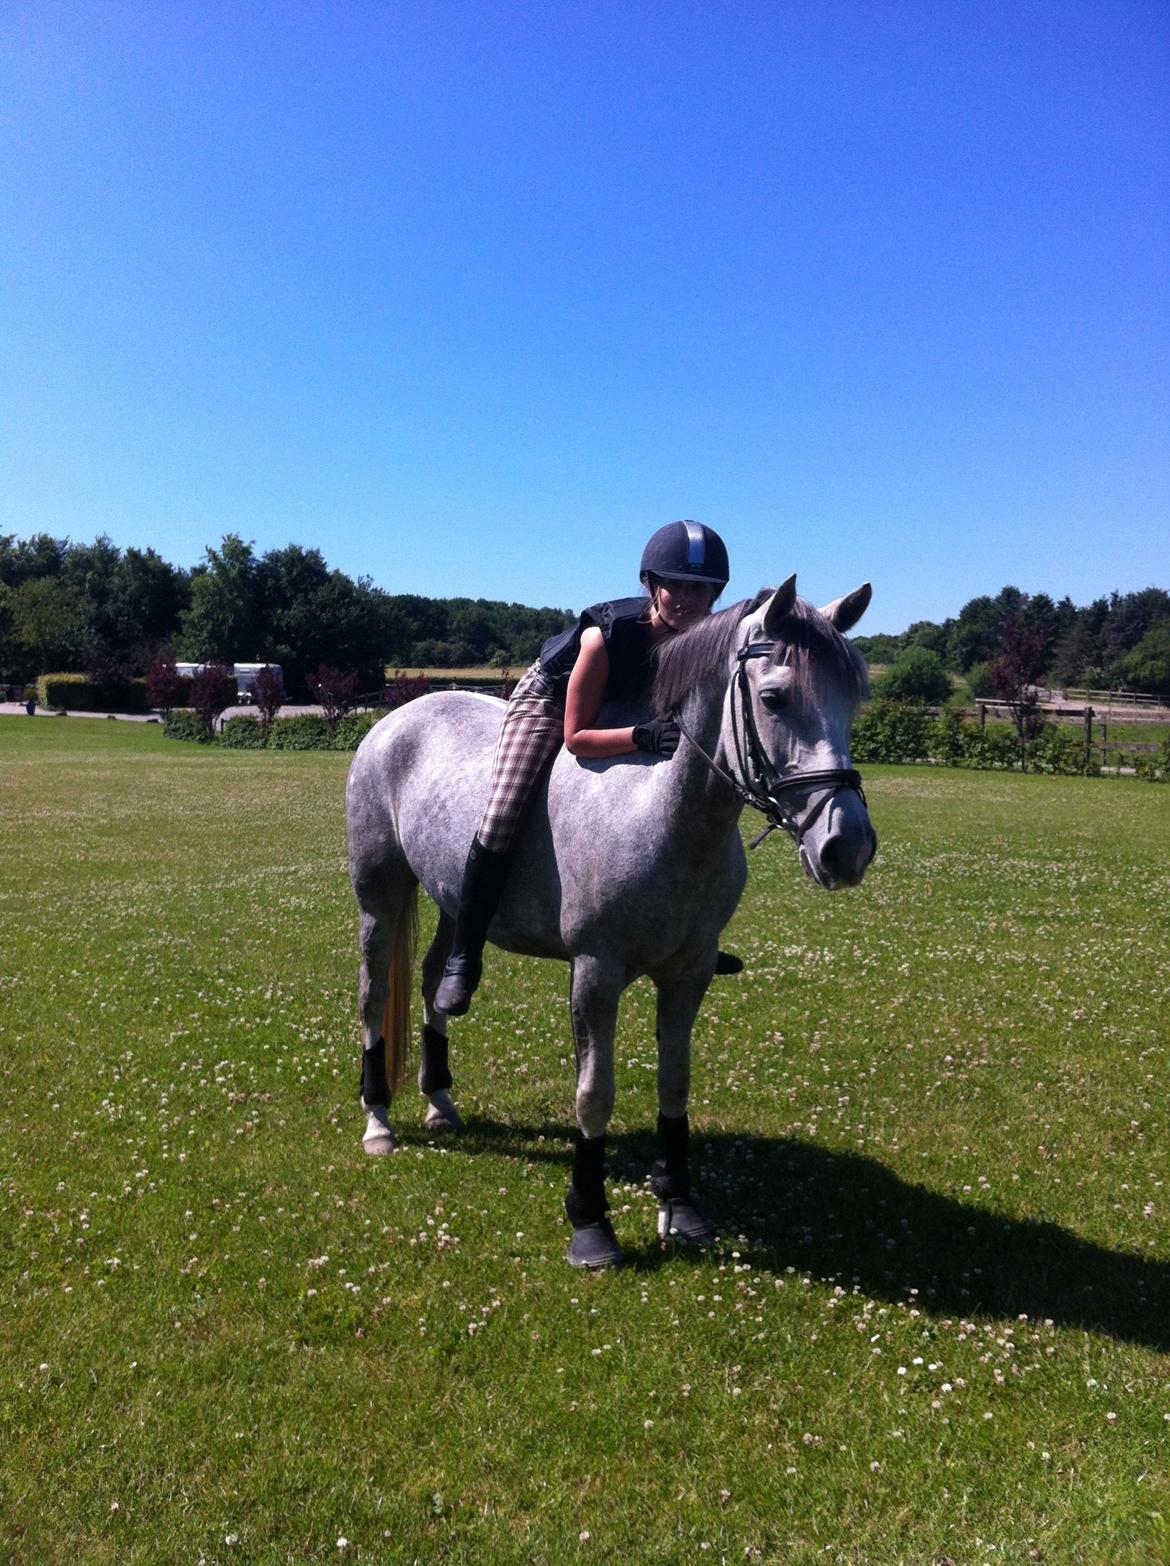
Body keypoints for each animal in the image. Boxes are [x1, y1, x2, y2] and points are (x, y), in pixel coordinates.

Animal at [345, 574, 876, 1267]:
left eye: (853, 700)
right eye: (774, 698)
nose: (848, 848)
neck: (661, 813)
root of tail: (394, 720)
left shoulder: (688, 974)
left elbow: (675, 1085)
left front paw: (680, 1204)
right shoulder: (596, 974)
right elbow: (593, 1095)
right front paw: (591, 1221)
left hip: (450, 899)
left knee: (438, 979)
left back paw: (439, 1099)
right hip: (379, 894)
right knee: (375, 993)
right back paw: (378, 1119)